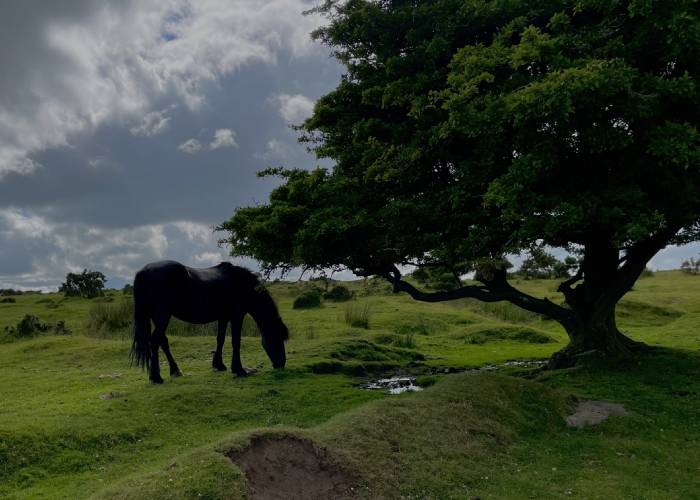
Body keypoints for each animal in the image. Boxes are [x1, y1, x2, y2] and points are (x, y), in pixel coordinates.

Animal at [131, 262, 288, 382]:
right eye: (277, 337)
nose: (281, 364)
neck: (242, 284)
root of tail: (143, 272)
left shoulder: (223, 317)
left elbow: (221, 339)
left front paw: (219, 365)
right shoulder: (237, 316)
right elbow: (236, 341)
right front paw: (239, 369)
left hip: (159, 318)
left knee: (162, 341)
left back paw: (175, 371)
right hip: (162, 317)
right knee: (155, 341)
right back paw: (156, 377)